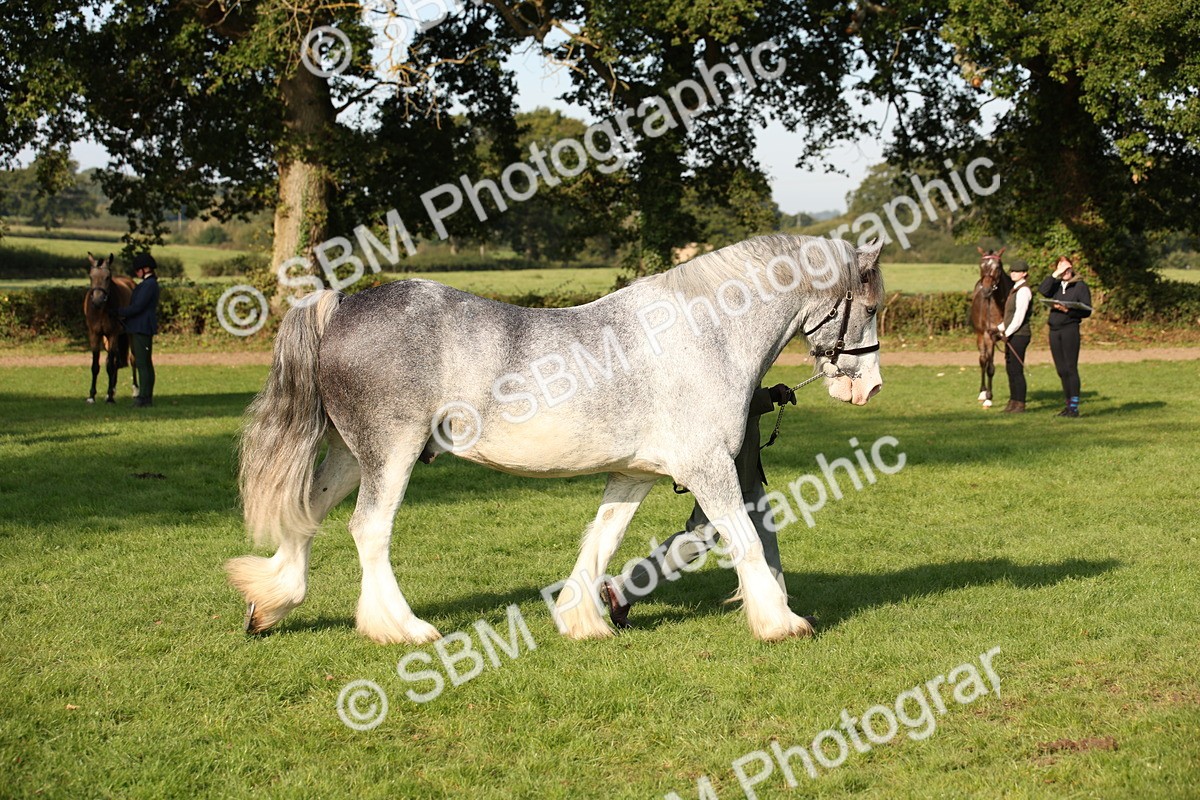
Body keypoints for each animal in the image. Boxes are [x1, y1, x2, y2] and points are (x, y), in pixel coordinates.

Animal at [84, 253, 138, 404]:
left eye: (107, 277)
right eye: (91, 276)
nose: (97, 300)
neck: (101, 310)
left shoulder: (113, 334)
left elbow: (109, 367)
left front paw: (109, 397)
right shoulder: (95, 335)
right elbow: (96, 366)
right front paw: (92, 396)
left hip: (128, 334)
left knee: (132, 359)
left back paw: (135, 391)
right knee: (114, 361)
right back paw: (112, 390)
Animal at [227, 234, 885, 645]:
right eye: (873, 307)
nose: (870, 388)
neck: (706, 331)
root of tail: (340, 307)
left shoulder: (635, 473)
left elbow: (603, 537)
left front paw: (581, 619)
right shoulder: (709, 469)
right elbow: (745, 537)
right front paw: (782, 622)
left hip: (349, 453)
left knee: (308, 512)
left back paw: (271, 603)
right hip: (391, 453)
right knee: (369, 530)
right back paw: (403, 628)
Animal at [969, 247, 1012, 408]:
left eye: (997, 267)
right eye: (981, 266)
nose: (986, 290)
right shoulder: (989, 336)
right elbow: (990, 367)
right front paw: (988, 397)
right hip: (980, 336)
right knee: (983, 360)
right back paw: (983, 392)